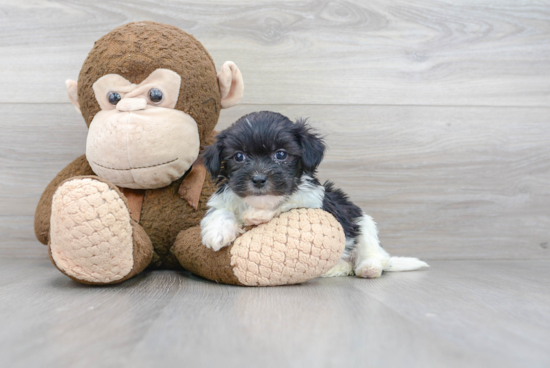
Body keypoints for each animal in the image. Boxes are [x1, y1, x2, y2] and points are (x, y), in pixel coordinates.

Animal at [201, 110, 430, 278]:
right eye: (239, 156)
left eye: (281, 154)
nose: (258, 179)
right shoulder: (223, 199)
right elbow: (220, 211)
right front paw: (217, 232)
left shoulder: (312, 200)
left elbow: (289, 202)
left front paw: (257, 215)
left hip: (362, 222)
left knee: (374, 253)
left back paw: (368, 268)